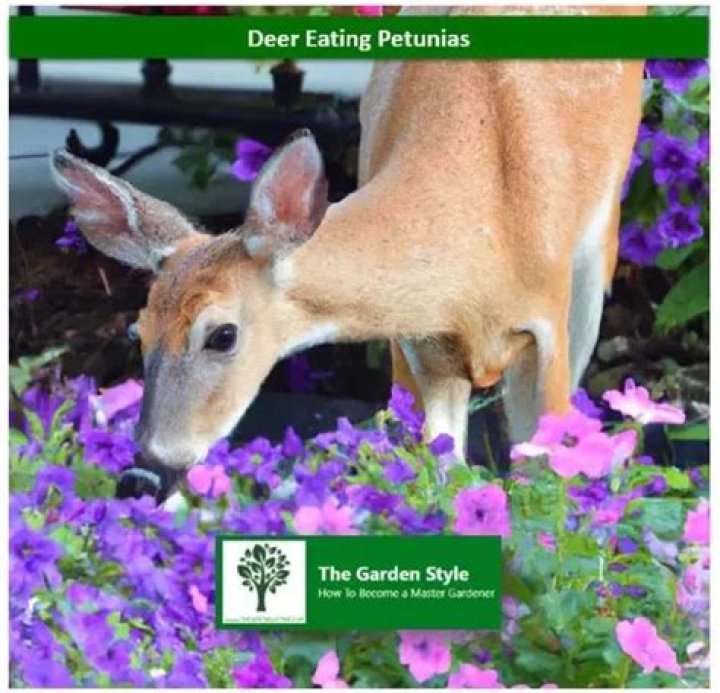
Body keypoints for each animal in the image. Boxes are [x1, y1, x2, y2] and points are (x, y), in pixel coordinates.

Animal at [51, 6, 645, 502]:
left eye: (222, 334)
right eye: (139, 331)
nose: (142, 476)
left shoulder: (546, 325)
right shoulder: (418, 345)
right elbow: (439, 477)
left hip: (599, 246)